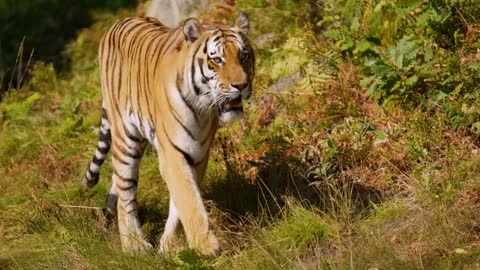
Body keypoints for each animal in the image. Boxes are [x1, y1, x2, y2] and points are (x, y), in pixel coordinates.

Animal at [82, 13, 255, 255]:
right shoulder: (172, 154)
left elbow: (180, 202)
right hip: (126, 138)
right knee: (126, 192)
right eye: (217, 60)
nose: (241, 85)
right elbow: (188, 199)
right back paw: (133, 244)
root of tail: (118, 22)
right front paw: (206, 245)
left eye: (243, 55)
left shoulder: (197, 155)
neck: (202, 109)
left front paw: (169, 246)